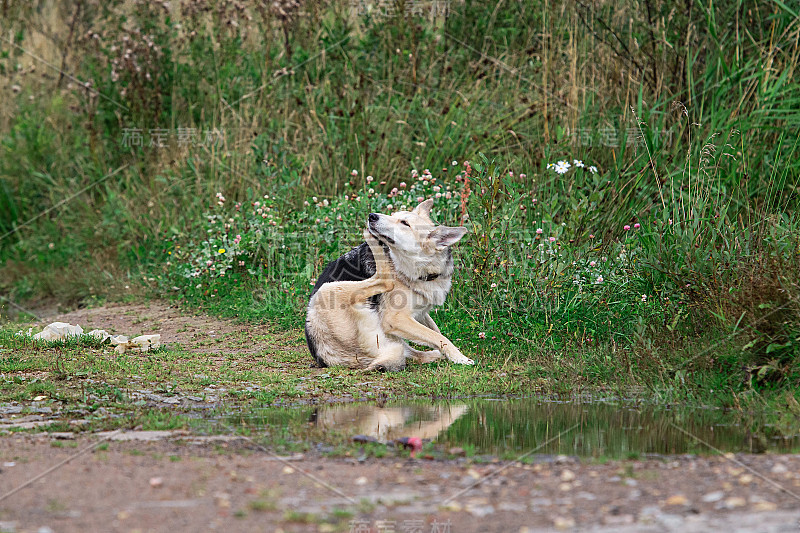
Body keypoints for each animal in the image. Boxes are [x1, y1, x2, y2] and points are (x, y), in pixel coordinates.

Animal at [304, 198, 472, 370]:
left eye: (404, 223)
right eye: (393, 215)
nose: (372, 216)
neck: (423, 272)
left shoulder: (420, 313)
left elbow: (436, 332)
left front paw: (452, 354)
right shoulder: (395, 318)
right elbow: (438, 337)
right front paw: (460, 357)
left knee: (414, 354)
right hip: (327, 289)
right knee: (384, 280)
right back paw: (370, 237)